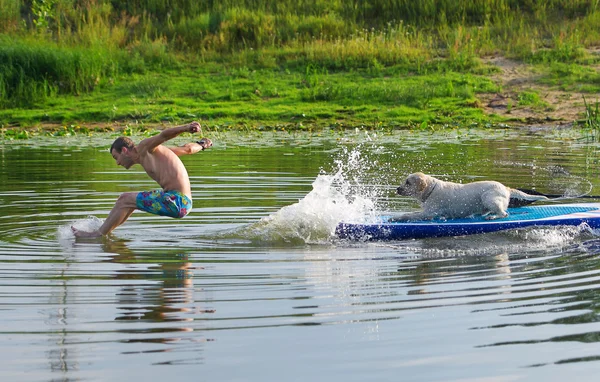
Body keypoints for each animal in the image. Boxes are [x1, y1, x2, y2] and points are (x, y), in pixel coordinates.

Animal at [394, 172, 548, 221]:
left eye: (408, 182)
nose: (397, 189)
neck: (430, 189)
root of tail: (506, 188)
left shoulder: (429, 212)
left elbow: (409, 215)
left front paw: (396, 218)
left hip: (489, 197)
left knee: (503, 214)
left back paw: (492, 217)